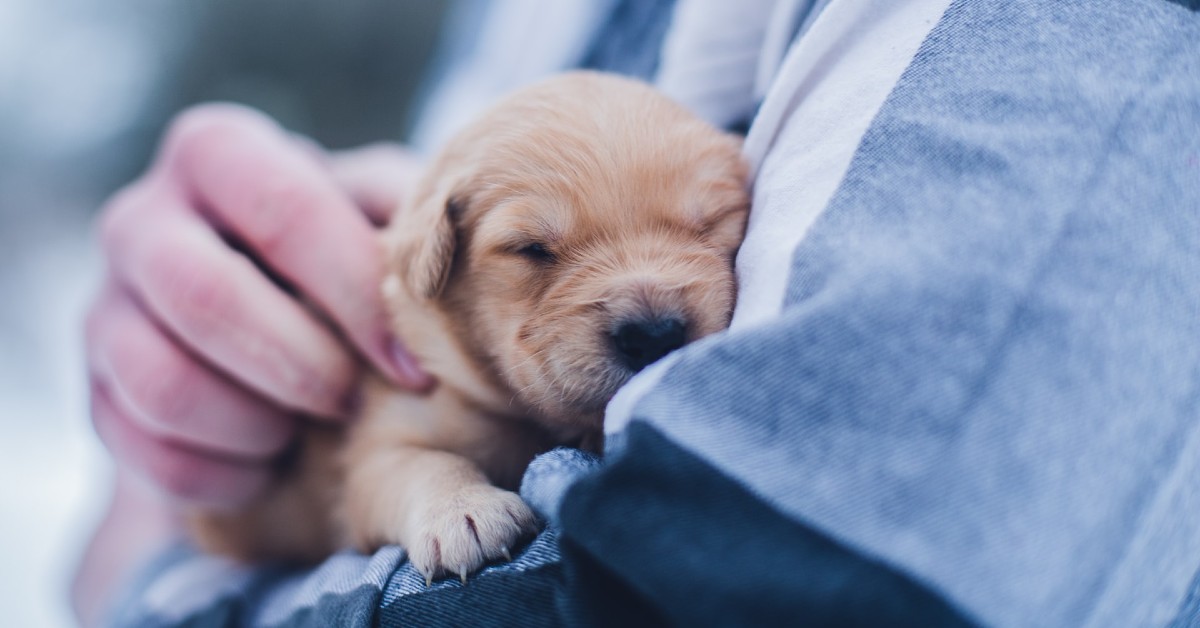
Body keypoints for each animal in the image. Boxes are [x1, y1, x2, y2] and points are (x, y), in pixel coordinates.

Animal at [188, 72, 744, 585]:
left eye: (712, 222)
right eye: (531, 249)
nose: (652, 335)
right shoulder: (376, 446)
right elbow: (421, 463)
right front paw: (463, 511)